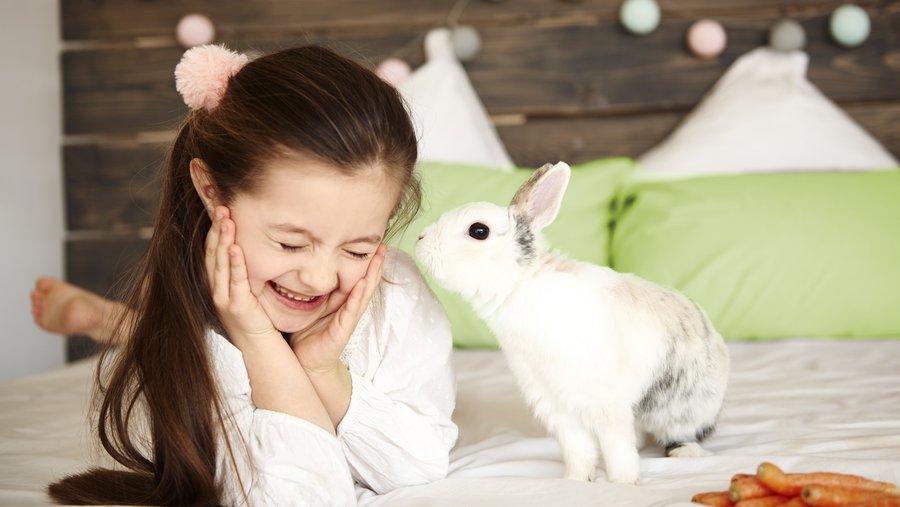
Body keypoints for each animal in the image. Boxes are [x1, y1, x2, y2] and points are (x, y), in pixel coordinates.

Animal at [414, 162, 732, 484]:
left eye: (479, 231)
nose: (420, 239)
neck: (521, 284)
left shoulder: (605, 403)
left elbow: (617, 446)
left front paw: (623, 482)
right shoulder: (556, 405)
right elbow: (578, 449)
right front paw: (576, 481)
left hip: (681, 409)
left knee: (681, 435)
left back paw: (685, 453)